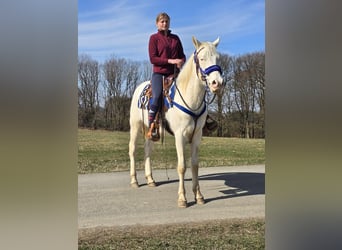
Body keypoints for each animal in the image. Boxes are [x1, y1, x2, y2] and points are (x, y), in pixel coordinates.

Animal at [130, 36, 223, 208]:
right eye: (202, 58)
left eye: (217, 58)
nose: (217, 83)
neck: (190, 98)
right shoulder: (180, 136)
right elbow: (182, 166)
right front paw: (182, 198)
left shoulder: (197, 136)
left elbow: (194, 165)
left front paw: (199, 196)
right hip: (135, 126)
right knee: (132, 150)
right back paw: (134, 181)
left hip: (151, 131)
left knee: (147, 150)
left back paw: (150, 179)